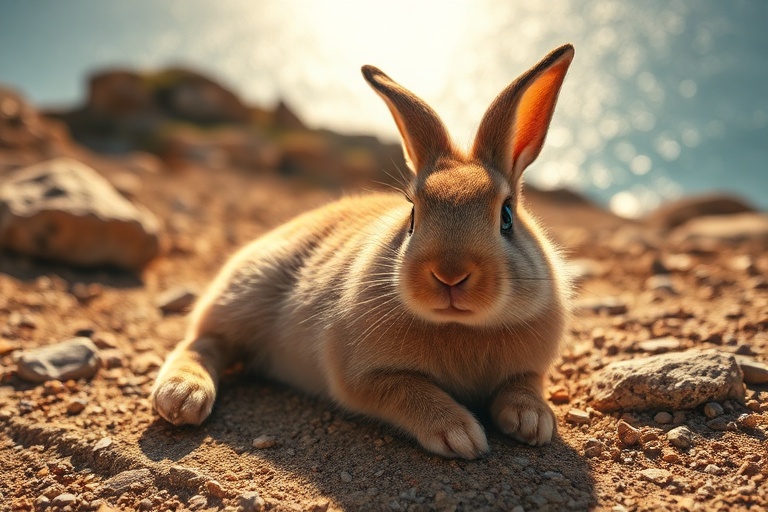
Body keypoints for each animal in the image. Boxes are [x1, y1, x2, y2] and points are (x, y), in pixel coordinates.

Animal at [151, 44, 575, 459]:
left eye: (506, 216)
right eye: (413, 214)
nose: (449, 275)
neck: (459, 326)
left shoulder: (529, 370)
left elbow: (523, 386)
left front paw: (533, 422)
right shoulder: (362, 377)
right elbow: (408, 391)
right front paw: (461, 435)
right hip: (242, 298)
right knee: (202, 341)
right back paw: (182, 397)